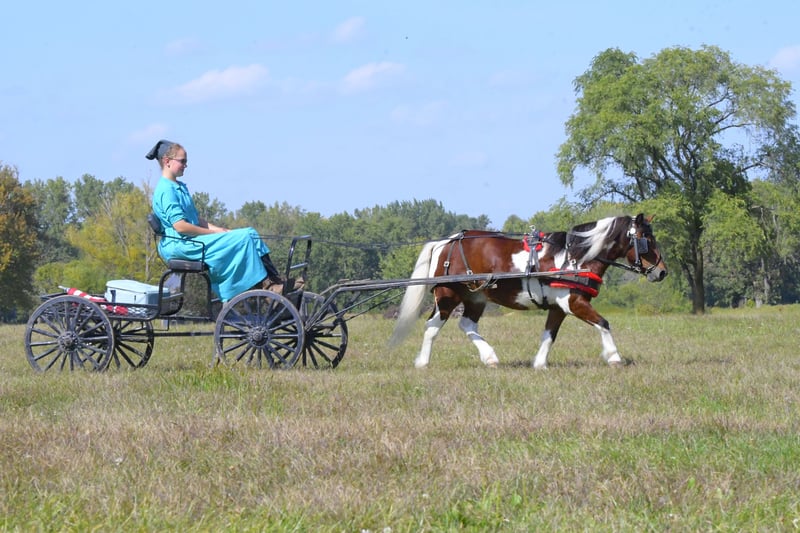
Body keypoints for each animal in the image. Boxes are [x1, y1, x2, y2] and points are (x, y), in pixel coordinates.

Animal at [389, 214, 667, 369]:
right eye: (646, 240)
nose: (662, 272)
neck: (575, 258)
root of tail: (446, 242)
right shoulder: (574, 303)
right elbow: (604, 323)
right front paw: (614, 357)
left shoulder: (558, 308)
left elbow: (549, 335)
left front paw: (540, 363)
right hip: (448, 295)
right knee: (432, 327)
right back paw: (423, 362)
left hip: (476, 296)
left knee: (467, 325)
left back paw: (490, 358)